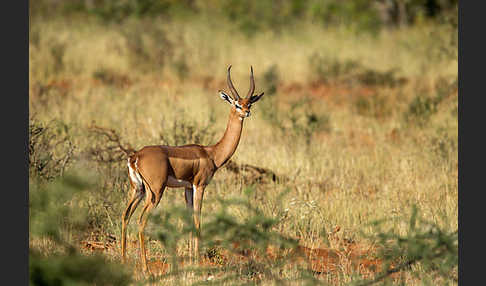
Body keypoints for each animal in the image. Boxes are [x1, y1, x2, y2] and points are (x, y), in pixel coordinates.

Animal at [121, 65, 266, 272]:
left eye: (249, 104)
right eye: (237, 104)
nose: (246, 112)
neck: (212, 153)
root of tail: (136, 156)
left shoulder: (188, 188)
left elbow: (189, 220)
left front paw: (191, 259)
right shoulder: (200, 186)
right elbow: (198, 219)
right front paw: (197, 261)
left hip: (138, 190)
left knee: (125, 216)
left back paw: (124, 261)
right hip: (155, 192)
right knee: (141, 221)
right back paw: (145, 268)